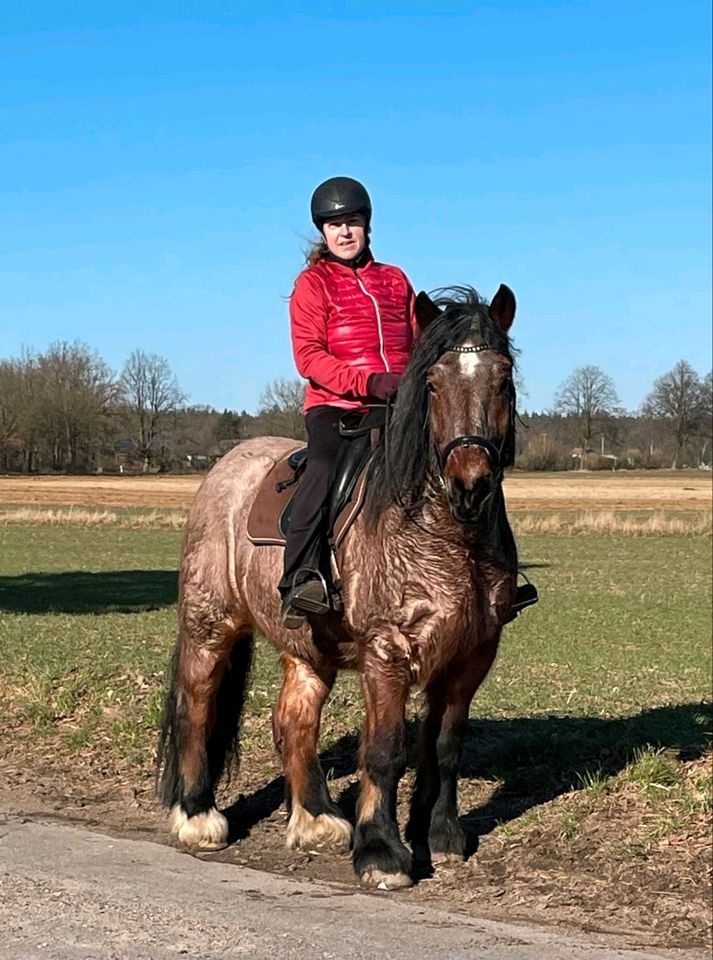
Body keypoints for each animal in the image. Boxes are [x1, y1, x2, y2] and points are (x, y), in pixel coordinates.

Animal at [157, 284, 516, 892]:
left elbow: (446, 746)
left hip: (308, 649)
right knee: (197, 707)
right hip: (210, 626)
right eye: (432, 384)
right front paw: (382, 851)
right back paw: (198, 816)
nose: (471, 484)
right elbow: (385, 750)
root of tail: (225, 467)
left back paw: (317, 820)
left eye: (504, 379)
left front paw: (441, 836)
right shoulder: (387, 651)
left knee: (293, 721)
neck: (448, 535)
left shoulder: (472, 653)